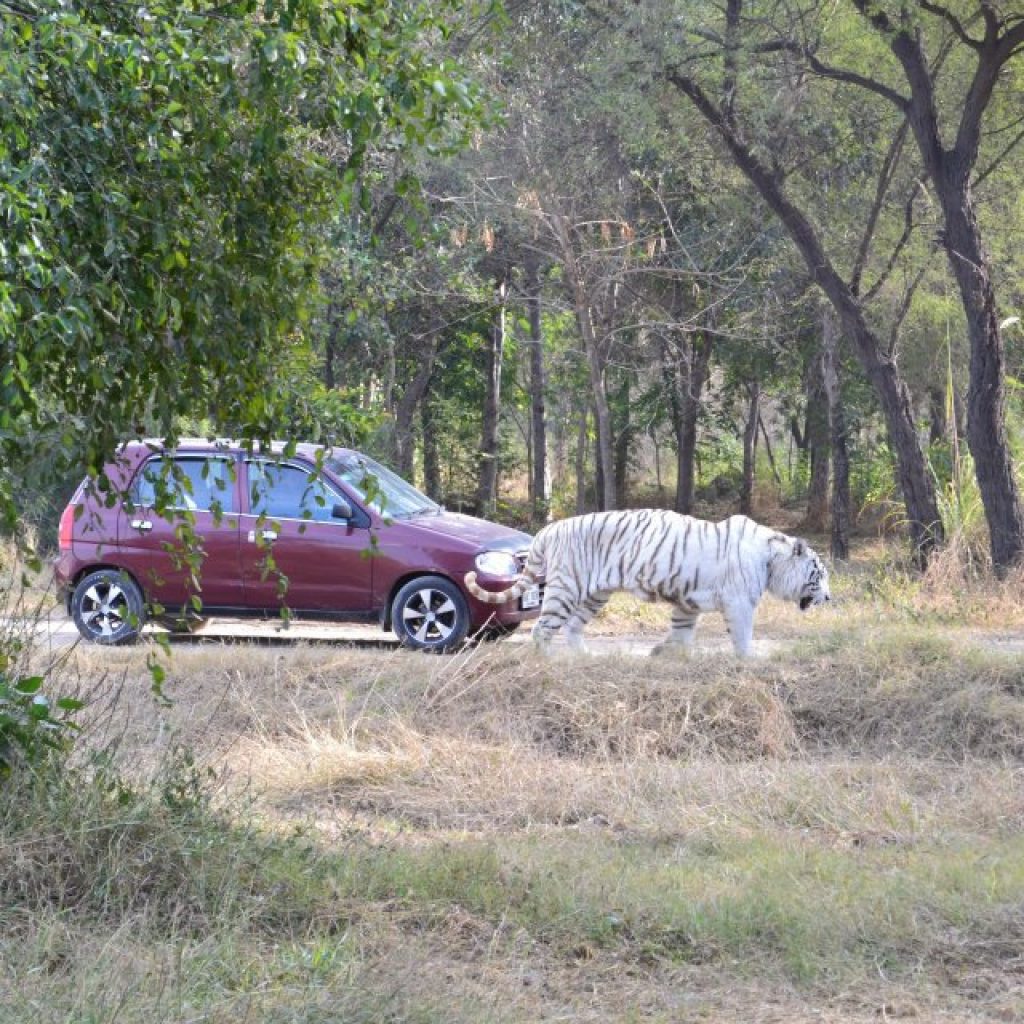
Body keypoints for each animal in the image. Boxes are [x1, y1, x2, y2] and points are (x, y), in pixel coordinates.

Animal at [468, 509, 827, 659]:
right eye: (819, 574)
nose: (829, 598)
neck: (772, 560)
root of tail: (549, 529)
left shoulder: (688, 602)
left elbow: (681, 633)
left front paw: (663, 652)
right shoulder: (739, 603)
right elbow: (742, 635)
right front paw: (748, 659)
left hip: (595, 595)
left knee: (573, 626)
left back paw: (585, 655)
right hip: (567, 589)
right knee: (543, 628)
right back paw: (547, 659)